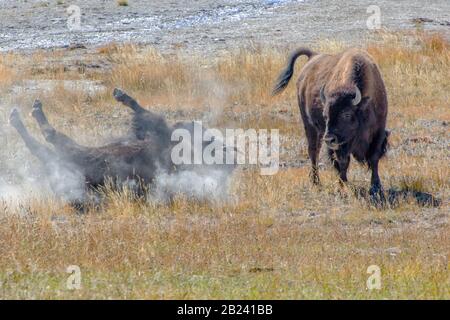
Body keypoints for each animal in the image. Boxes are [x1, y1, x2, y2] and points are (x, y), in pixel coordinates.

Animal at [272, 47, 388, 201]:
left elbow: (374, 159)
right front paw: (343, 187)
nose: (330, 138)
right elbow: (343, 161)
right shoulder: (341, 144)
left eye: (347, 114)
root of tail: (312, 56)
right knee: (313, 152)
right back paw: (316, 182)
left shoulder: (379, 132)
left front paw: (376, 188)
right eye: (325, 114)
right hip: (310, 126)